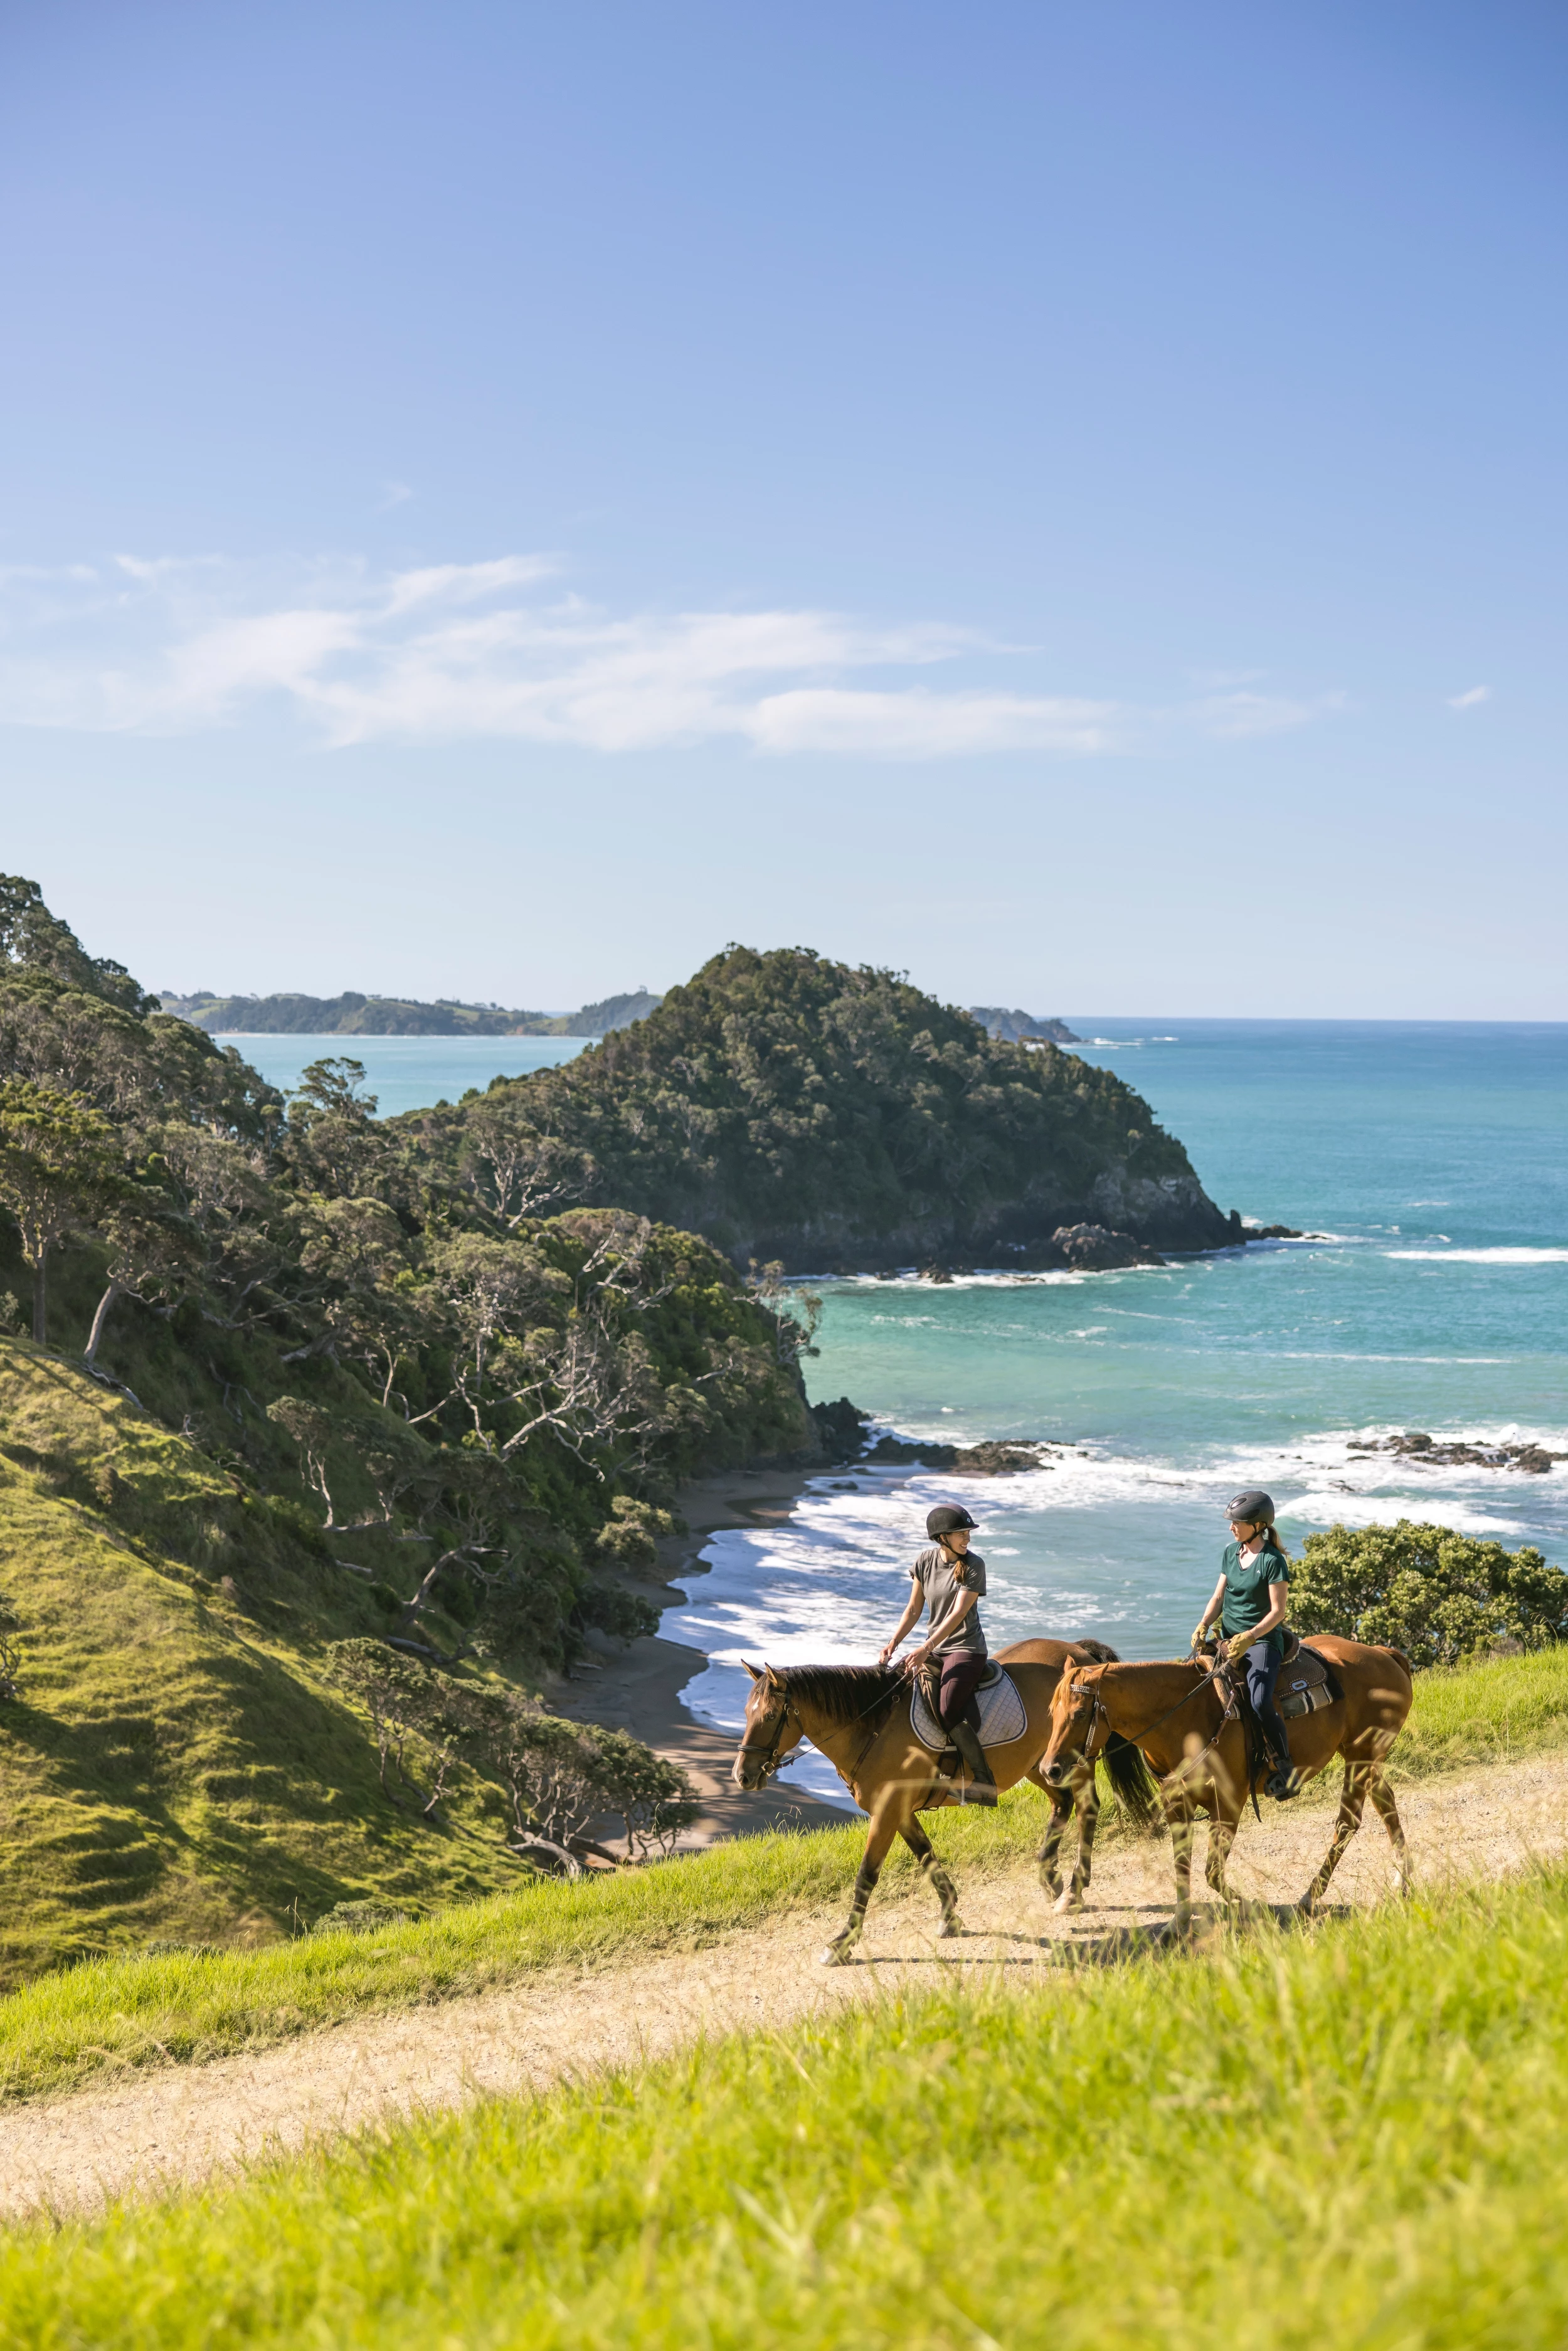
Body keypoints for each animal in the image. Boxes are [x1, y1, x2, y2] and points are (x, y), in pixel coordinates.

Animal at [728, 1636, 1161, 1965]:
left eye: (770, 1716)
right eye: (746, 1712)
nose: (742, 1776)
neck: (872, 1725)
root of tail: (1080, 1654)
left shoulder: (886, 1812)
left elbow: (866, 1875)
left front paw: (842, 1943)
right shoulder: (899, 1811)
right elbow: (927, 1858)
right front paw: (950, 1914)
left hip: (1075, 1758)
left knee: (1087, 1809)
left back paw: (1073, 1889)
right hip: (1041, 1764)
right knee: (1062, 1803)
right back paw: (1050, 1876)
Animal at [1044, 1636, 1419, 1928]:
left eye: (1080, 1713)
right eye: (1050, 1711)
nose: (1050, 1769)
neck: (1184, 1716)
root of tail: (1384, 1655)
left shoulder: (1228, 1803)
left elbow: (1211, 1871)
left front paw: (1253, 1907)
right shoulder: (1176, 1802)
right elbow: (1182, 1865)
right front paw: (1179, 1922)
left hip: (1360, 1757)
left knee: (1348, 1822)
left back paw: (1310, 1896)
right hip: (1365, 1758)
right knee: (1386, 1804)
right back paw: (1401, 1880)